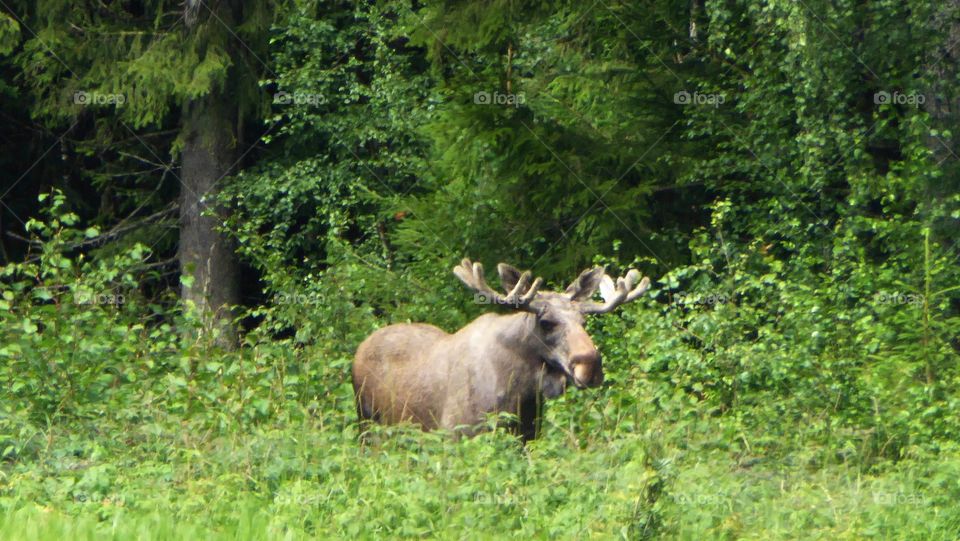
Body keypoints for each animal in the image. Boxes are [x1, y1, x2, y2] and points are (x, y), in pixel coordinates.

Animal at [352, 258, 652, 438]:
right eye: (546, 322)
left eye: (583, 320)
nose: (590, 366)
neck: (521, 391)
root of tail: (360, 348)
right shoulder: (453, 433)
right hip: (367, 423)